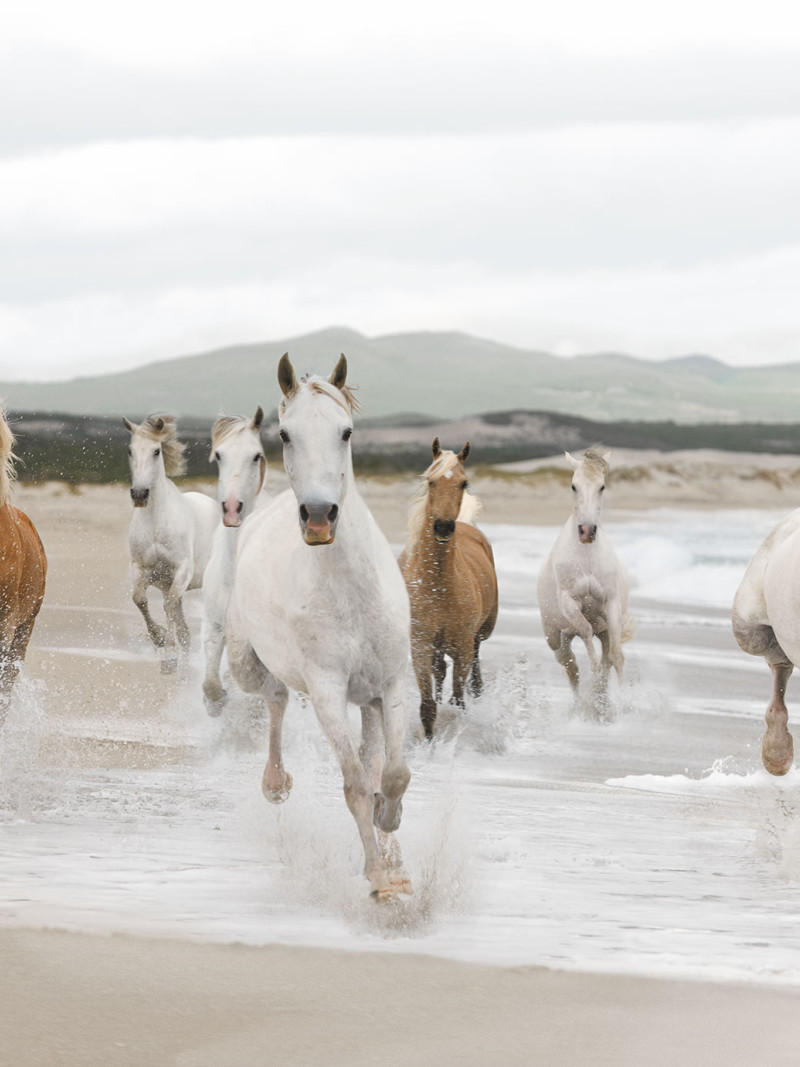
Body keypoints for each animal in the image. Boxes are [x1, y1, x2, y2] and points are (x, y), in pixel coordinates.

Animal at [124, 414, 219, 672]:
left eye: (156, 451)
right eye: (130, 450)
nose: (139, 494)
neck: (157, 521)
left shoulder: (182, 570)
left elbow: (169, 607)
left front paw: (167, 648)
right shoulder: (142, 569)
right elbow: (140, 600)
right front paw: (160, 639)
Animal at [226, 354, 413, 901]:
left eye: (346, 431)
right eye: (285, 435)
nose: (317, 517)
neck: (351, 590)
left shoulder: (392, 682)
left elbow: (394, 774)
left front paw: (390, 826)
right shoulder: (329, 690)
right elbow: (354, 786)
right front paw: (378, 879)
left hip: (369, 699)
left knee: (374, 756)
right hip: (249, 664)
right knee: (275, 698)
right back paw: (275, 783)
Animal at [400, 438, 498, 739]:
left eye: (463, 483)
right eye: (431, 481)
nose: (443, 527)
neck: (438, 585)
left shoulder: (462, 648)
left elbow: (458, 701)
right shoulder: (420, 645)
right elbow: (427, 705)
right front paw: (430, 743)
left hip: (479, 635)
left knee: (473, 667)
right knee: (440, 671)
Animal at [538, 449, 631, 704]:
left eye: (602, 486)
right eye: (573, 486)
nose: (587, 531)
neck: (587, 558)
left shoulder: (611, 606)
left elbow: (616, 657)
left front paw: (626, 703)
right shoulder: (571, 604)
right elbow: (586, 632)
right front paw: (595, 675)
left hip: (604, 630)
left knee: (606, 657)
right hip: (557, 638)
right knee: (570, 665)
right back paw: (583, 704)